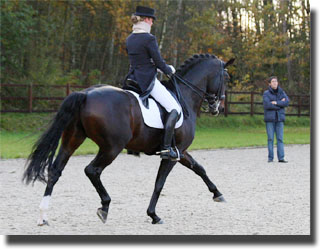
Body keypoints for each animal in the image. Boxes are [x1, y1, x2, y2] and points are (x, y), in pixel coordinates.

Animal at [23, 53, 234, 226]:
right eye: (227, 78)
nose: (219, 108)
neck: (185, 97)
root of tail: (85, 93)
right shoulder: (173, 154)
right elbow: (159, 183)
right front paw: (153, 215)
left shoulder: (180, 152)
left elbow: (199, 168)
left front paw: (218, 194)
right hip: (111, 147)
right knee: (92, 170)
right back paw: (104, 207)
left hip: (72, 140)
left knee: (55, 171)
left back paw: (43, 216)